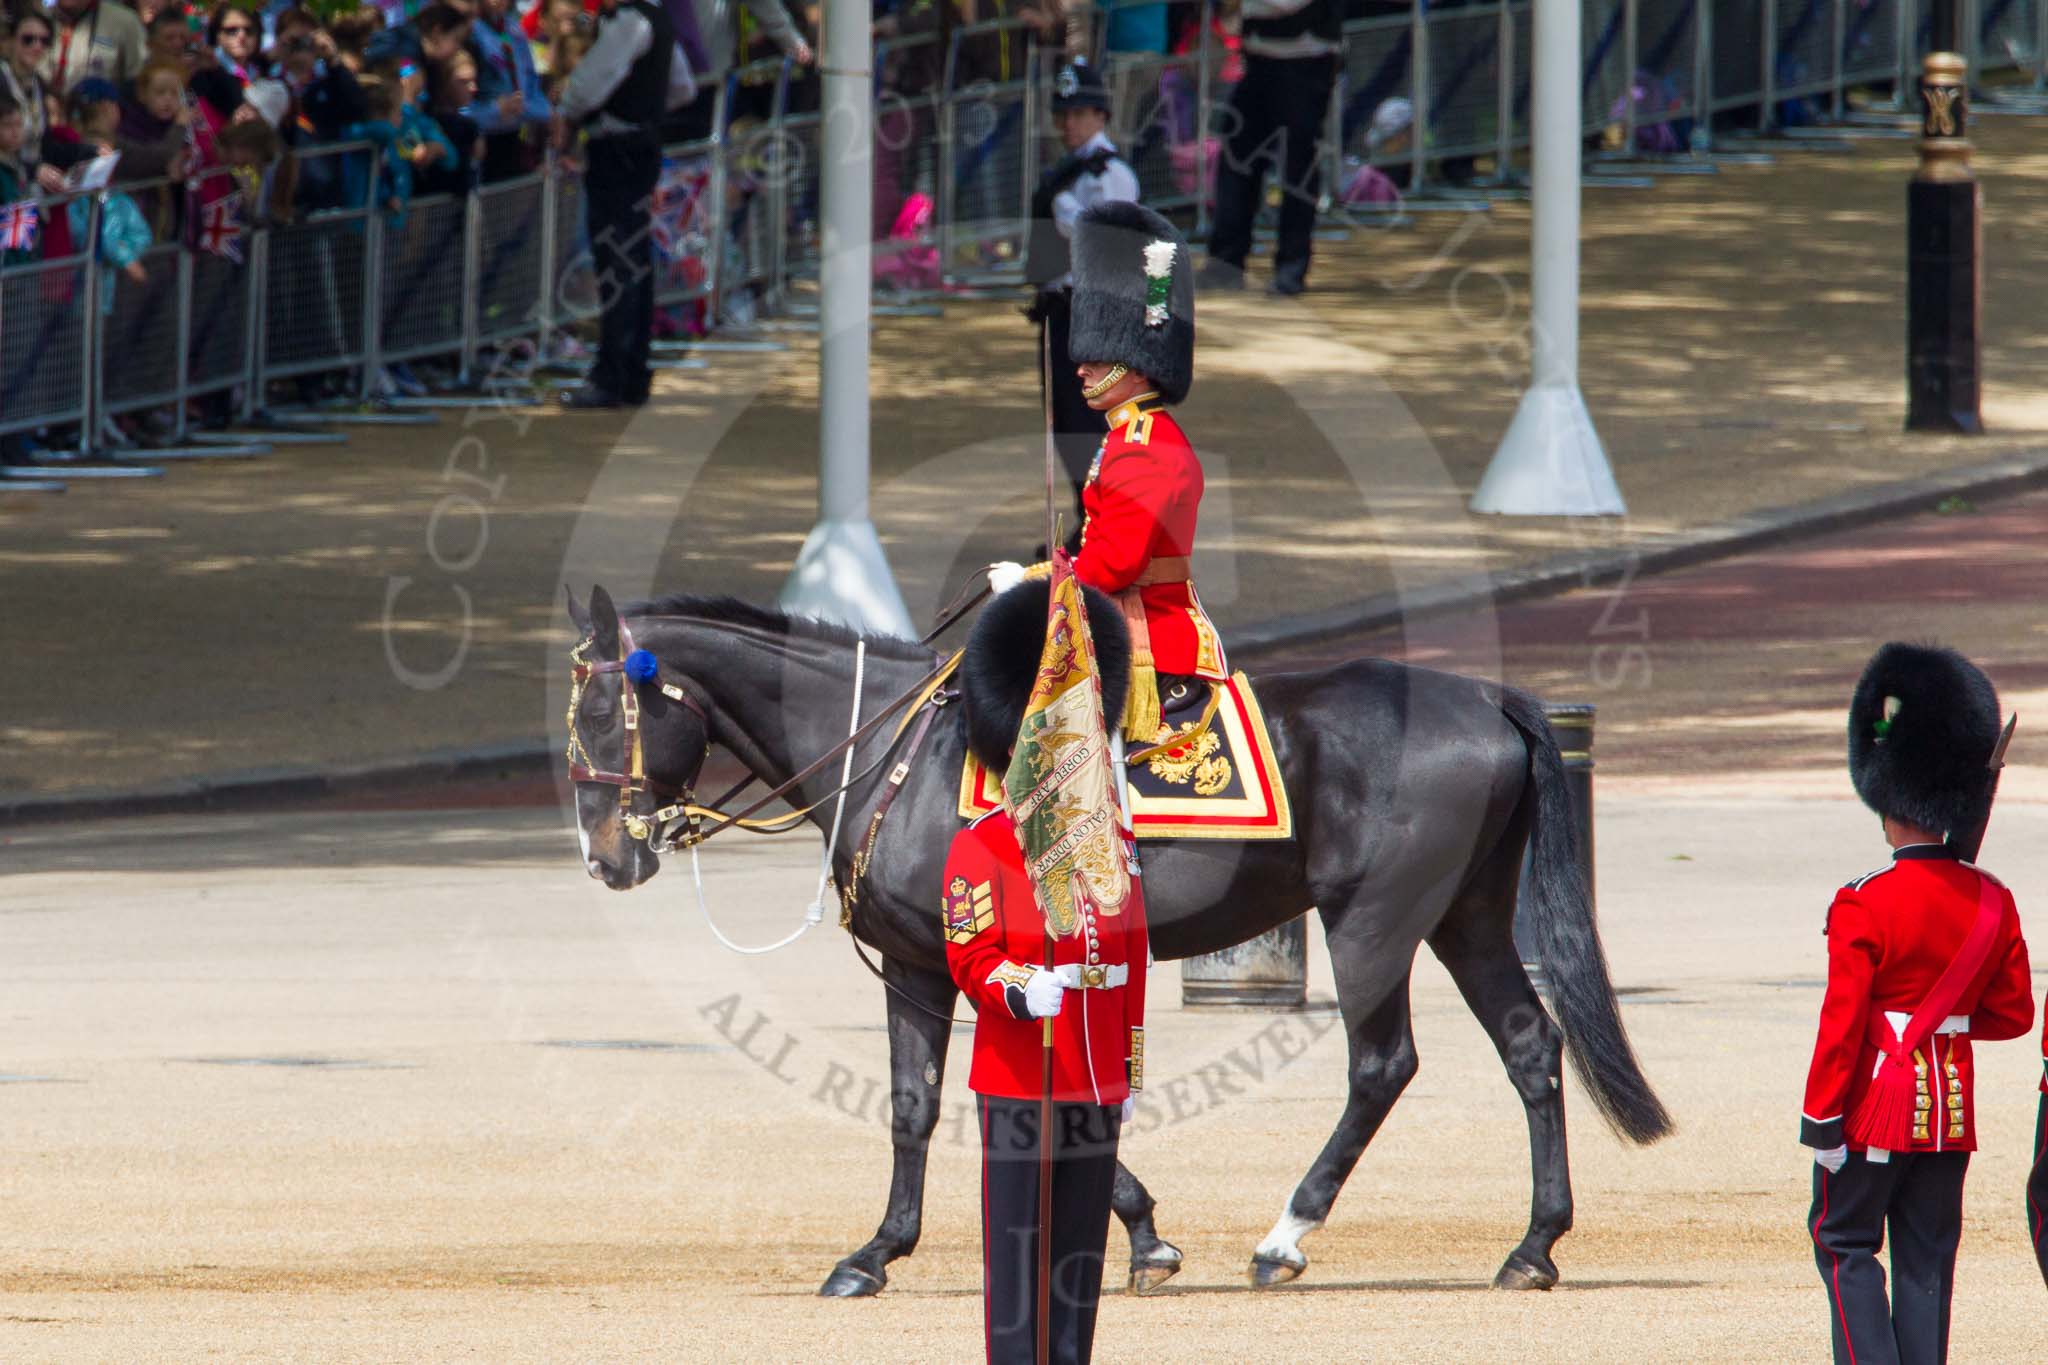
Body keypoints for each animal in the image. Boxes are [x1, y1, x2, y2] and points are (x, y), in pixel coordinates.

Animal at [563, 584, 1671, 1298]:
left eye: (606, 705)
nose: (605, 857)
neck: (892, 753)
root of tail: (1483, 693)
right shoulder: (939, 963)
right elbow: (951, 1101)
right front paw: (899, 1248)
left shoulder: (951, 962)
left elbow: (969, 1104)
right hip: (1465, 916)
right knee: (1529, 1044)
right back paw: (1533, 1245)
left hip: (1374, 919)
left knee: (1381, 1063)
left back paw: (1286, 1236)